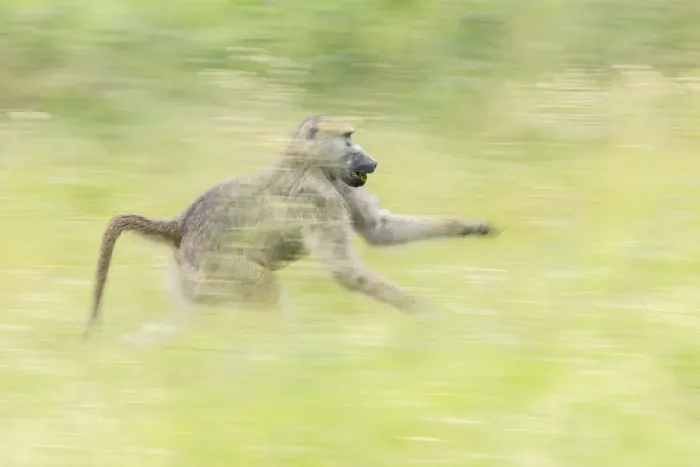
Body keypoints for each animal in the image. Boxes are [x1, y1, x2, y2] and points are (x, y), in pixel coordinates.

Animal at [82, 115, 499, 342]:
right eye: (348, 138)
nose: (372, 161)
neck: (307, 162)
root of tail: (180, 226)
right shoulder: (319, 196)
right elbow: (345, 270)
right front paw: (426, 313)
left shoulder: (341, 186)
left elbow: (380, 230)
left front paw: (472, 226)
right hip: (218, 273)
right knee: (267, 291)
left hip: (192, 285)